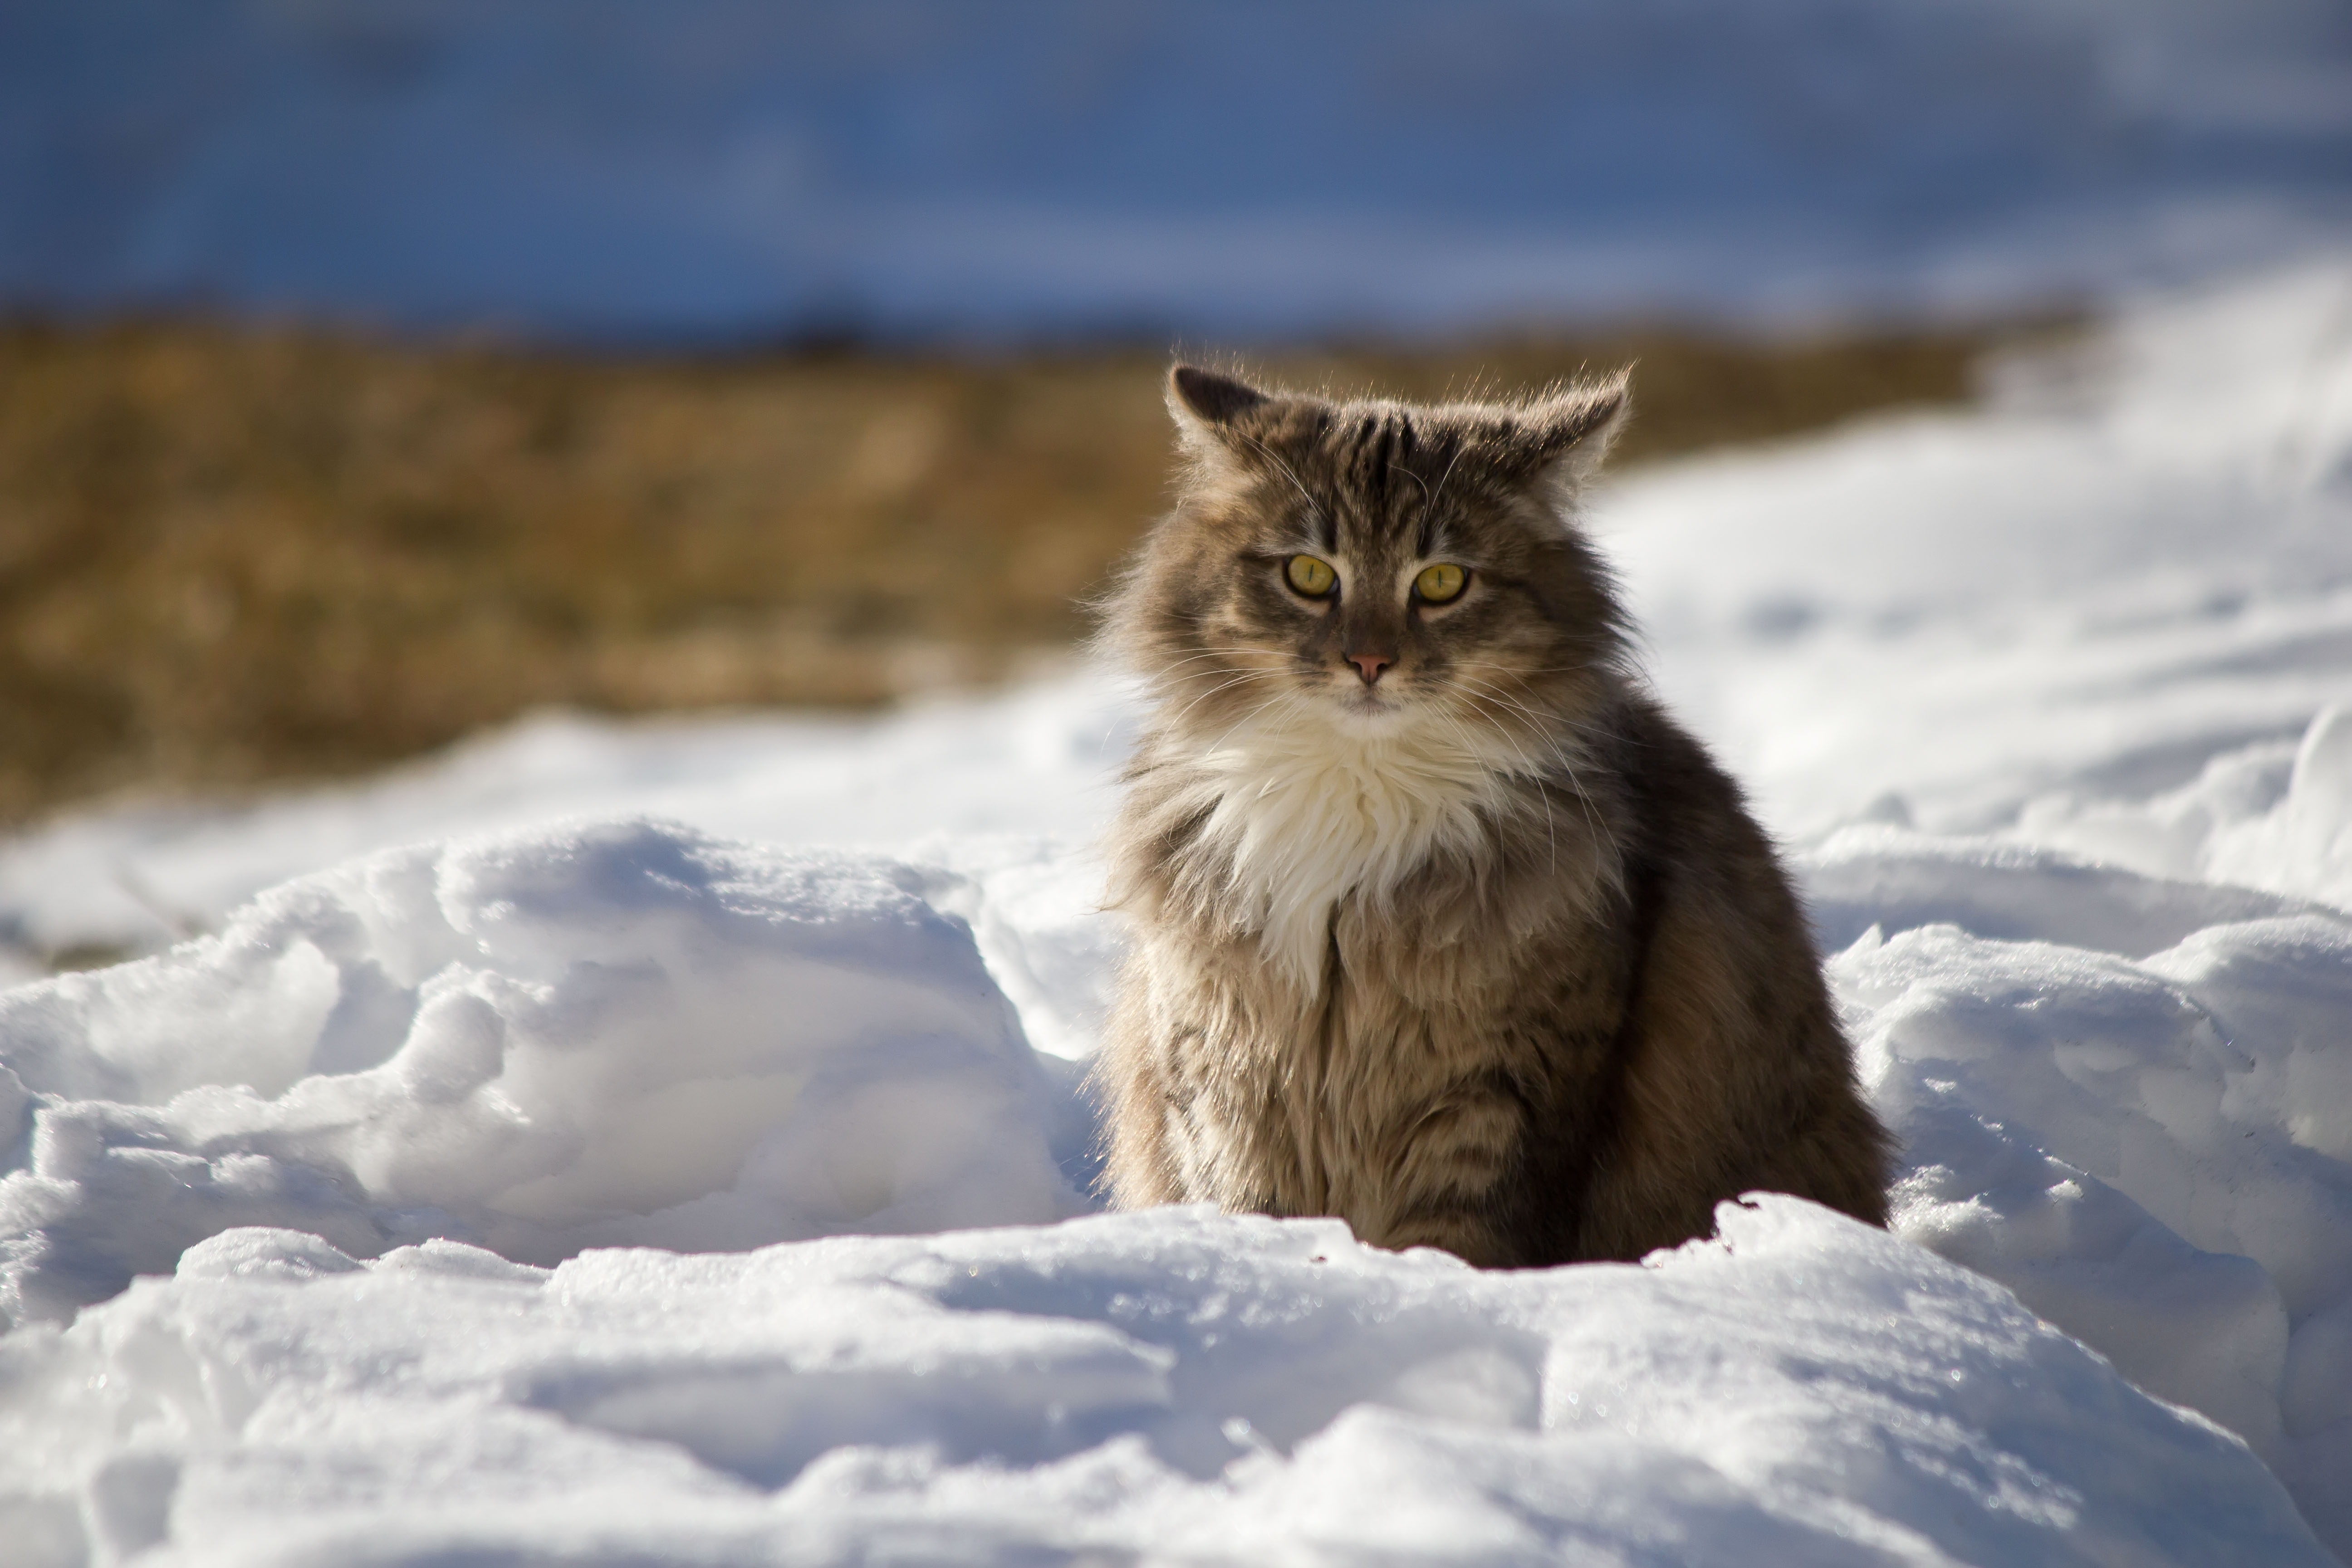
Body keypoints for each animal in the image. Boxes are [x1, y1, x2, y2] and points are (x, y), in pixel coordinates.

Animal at [1087, 362, 1891, 1269]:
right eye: (1309, 576)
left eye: (1441, 583)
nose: (1369, 661)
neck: (1357, 792)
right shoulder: (1224, 1077)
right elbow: (1252, 1210)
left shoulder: (1503, 1093)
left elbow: (1459, 1243)